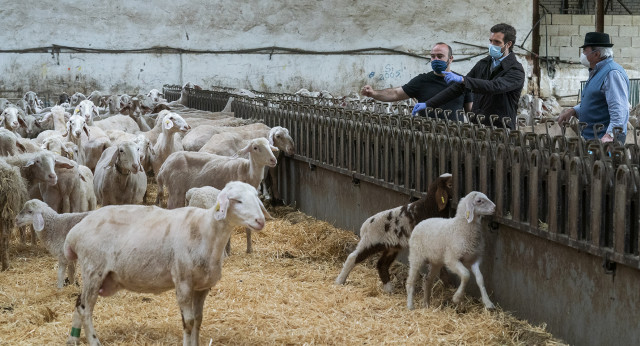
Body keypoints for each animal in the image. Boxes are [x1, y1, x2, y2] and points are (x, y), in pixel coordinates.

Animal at [65, 181, 272, 346]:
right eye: (237, 201)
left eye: (256, 198)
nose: (260, 221)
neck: (206, 231)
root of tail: (74, 233)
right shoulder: (183, 282)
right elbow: (188, 322)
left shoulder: (201, 287)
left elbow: (198, 319)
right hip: (93, 269)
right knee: (85, 310)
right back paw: (94, 341)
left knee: (78, 303)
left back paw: (73, 339)